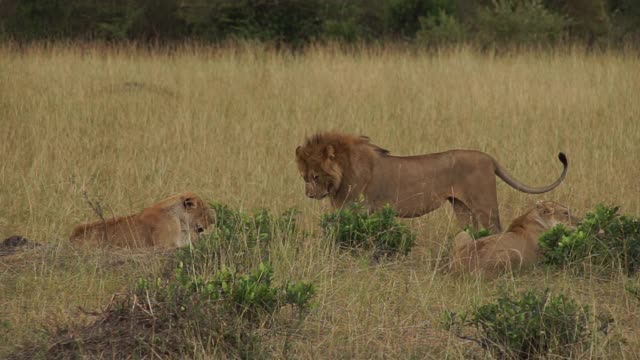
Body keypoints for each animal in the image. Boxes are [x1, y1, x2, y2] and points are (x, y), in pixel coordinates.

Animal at [296, 131, 568, 231]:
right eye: (304, 177)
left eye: (316, 176)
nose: (309, 194)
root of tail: (489, 158)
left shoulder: (360, 209)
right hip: (461, 206)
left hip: (485, 204)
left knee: (495, 228)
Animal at [450, 200, 580, 276]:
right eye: (565, 213)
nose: (580, 222)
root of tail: (460, 271)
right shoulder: (549, 253)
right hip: (514, 253)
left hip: (463, 233)